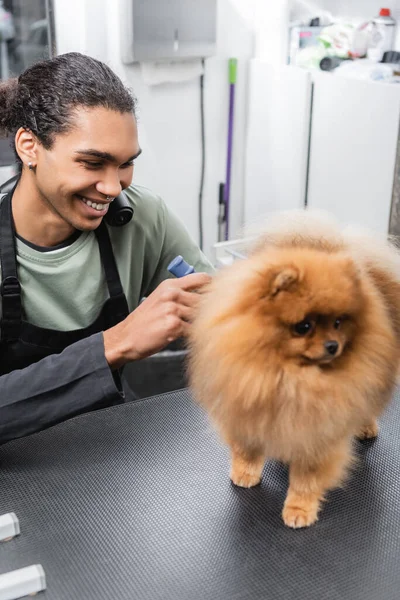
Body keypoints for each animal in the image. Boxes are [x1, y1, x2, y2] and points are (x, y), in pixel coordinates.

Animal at [189, 212, 400, 528]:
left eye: (338, 322)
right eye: (304, 326)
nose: (332, 345)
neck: (285, 375)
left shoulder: (318, 434)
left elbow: (307, 478)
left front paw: (299, 509)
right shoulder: (243, 406)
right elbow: (246, 449)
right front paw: (245, 473)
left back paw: (364, 426)